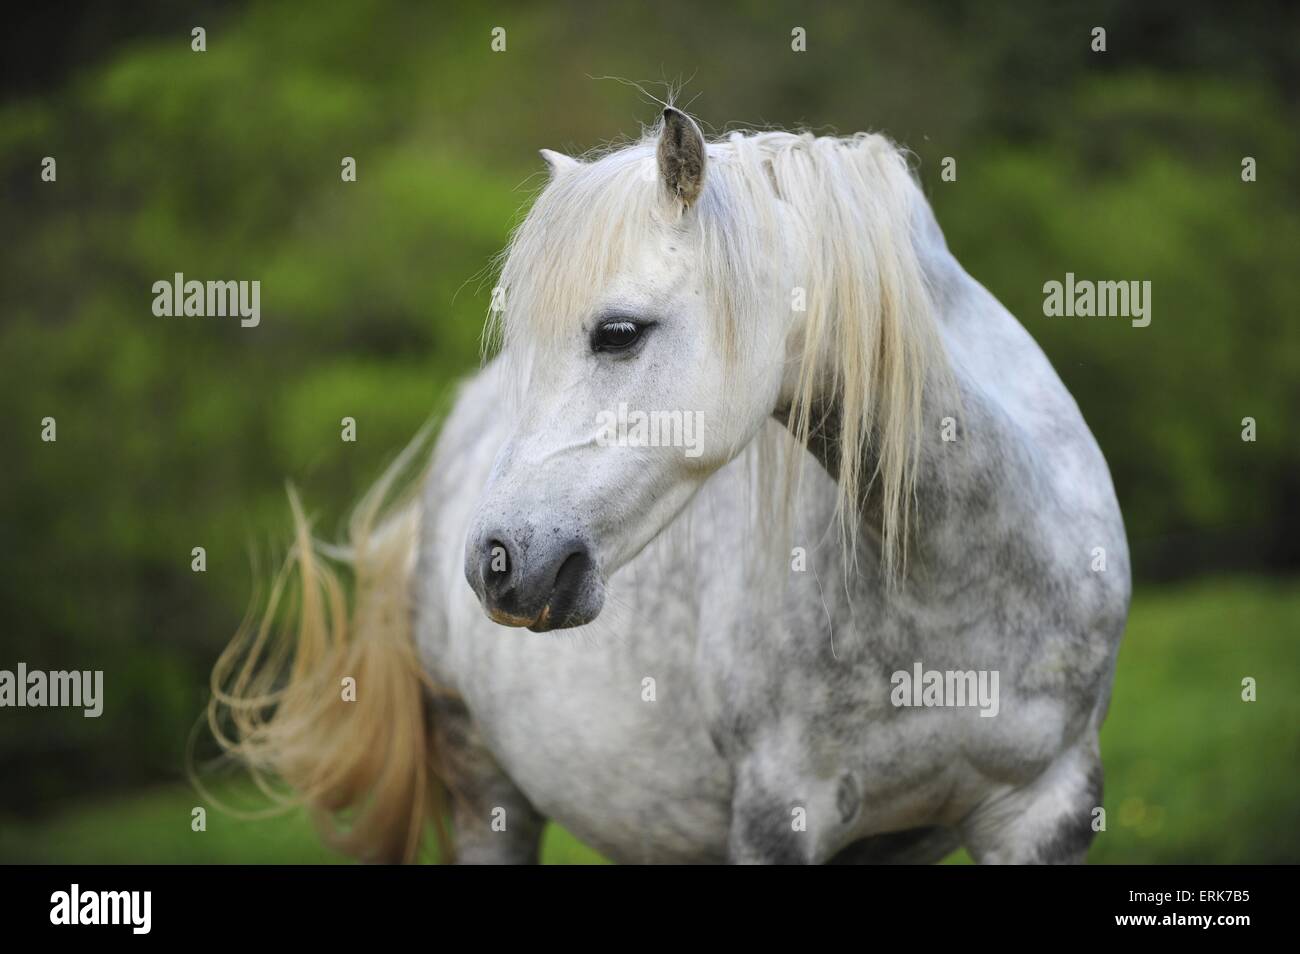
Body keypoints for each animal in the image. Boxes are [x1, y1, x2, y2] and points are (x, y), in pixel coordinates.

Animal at [209, 107, 1130, 864]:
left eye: (618, 332)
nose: (497, 563)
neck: (957, 570)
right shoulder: (780, 815)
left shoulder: (1046, 811)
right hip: (488, 795)